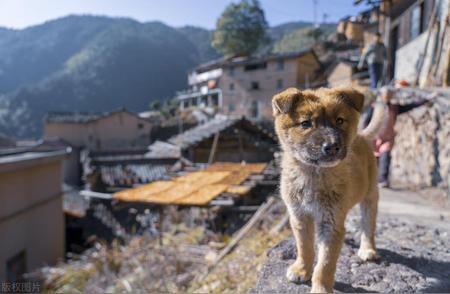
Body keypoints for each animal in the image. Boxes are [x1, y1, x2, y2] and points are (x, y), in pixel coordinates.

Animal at [272, 86, 384, 292]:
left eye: (339, 120)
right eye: (305, 123)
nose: (332, 147)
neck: (313, 174)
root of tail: (362, 135)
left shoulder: (331, 223)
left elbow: (325, 263)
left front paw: (320, 288)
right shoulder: (299, 216)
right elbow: (305, 247)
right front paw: (302, 270)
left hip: (370, 195)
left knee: (368, 224)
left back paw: (368, 249)